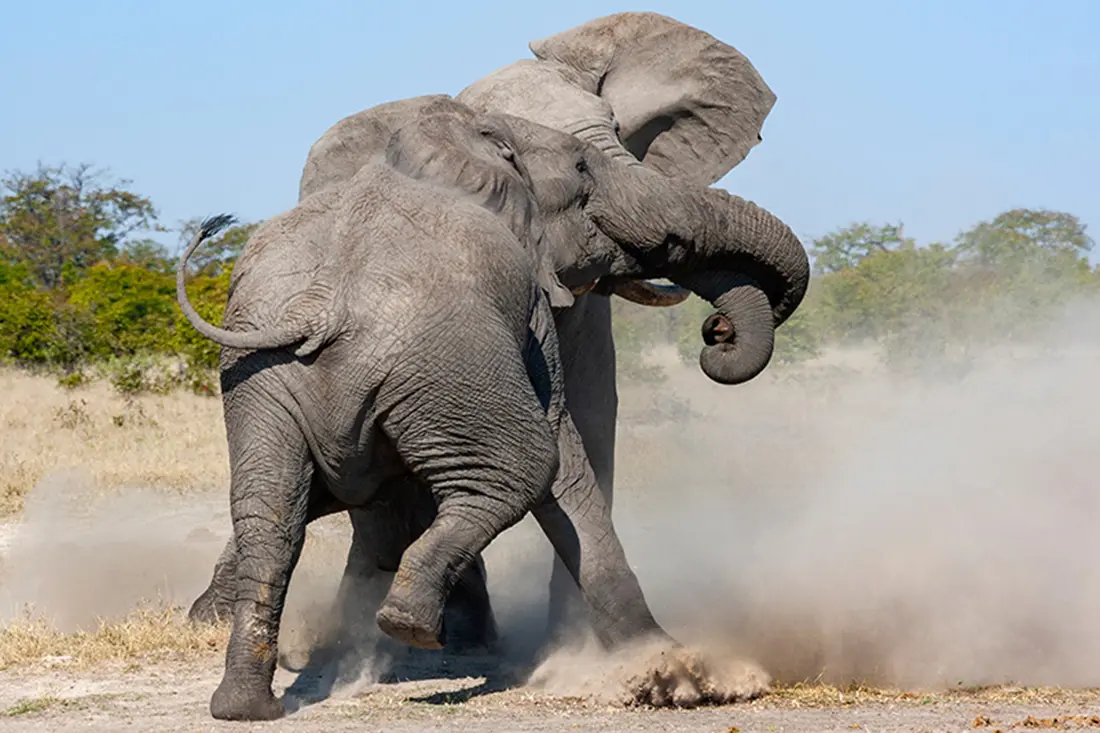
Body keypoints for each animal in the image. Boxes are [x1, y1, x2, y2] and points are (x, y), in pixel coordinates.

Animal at [188, 11, 810, 662]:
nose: (718, 330)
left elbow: (591, 416)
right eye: (580, 172)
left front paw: (573, 643)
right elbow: (558, 434)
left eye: (617, 127)